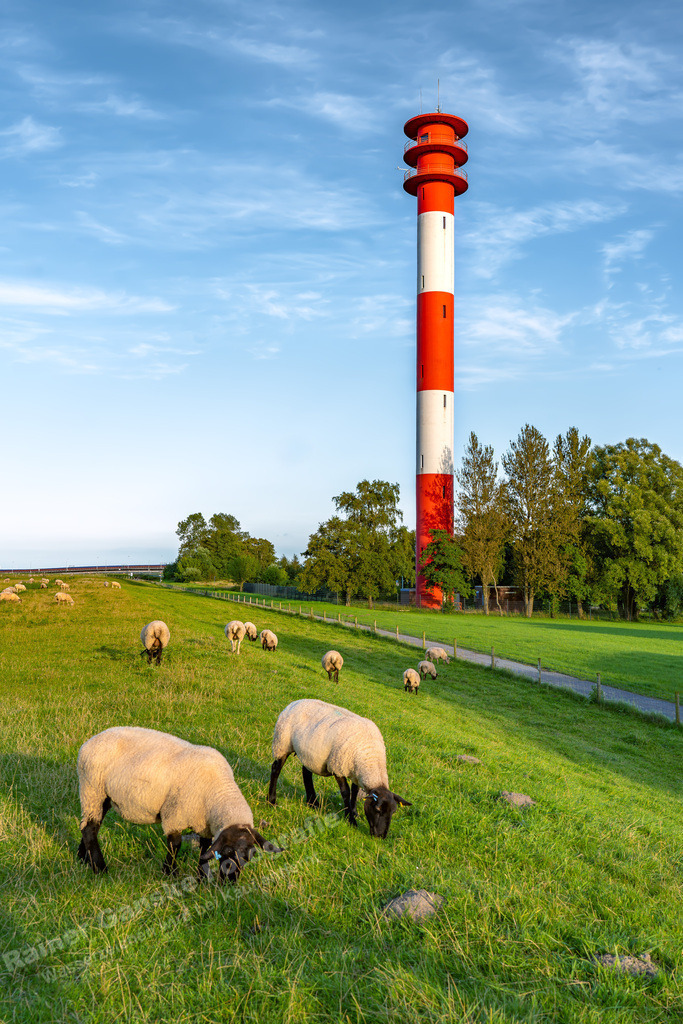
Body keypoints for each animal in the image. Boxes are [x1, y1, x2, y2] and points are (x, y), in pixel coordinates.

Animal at [77, 726, 282, 882]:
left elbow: (205, 847)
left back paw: (83, 859)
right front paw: (170, 872)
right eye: (228, 850)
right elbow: (175, 844)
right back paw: (100, 868)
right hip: (92, 789)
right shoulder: (174, 814)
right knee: (90, 829)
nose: (230, 881)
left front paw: (201, 877)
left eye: (249, 855)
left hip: (101, 797)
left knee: (89, 825)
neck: (218, 791)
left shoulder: (203, 822)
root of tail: (88, 742)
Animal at [268, 698, 411, 837]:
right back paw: (272, 801)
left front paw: (354, 812)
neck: (370, 757)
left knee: (306, 773)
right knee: (276, 769)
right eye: (378, 809)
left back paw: (313, 803)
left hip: (309, 754)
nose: (380, 836)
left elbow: (355, 792)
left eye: (393, 812)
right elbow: (346, 792)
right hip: (282, 743)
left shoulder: (355, 772)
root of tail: (295, 702)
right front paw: (351, 820)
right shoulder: (337, 767)